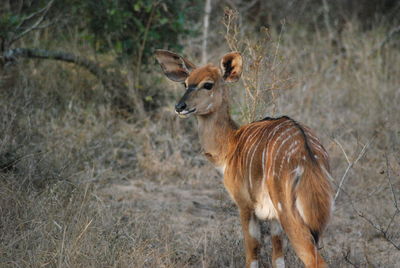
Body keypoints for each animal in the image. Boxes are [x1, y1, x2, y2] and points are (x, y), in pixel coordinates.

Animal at [155, 49, 332, 266]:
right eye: (186, 83)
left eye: (208, 84)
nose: (180, 106)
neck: (231, 144)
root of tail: (307, 155)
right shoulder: (273, 219)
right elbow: (278, 257)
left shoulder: (245, 204)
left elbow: (252, 252)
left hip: (290, 215)